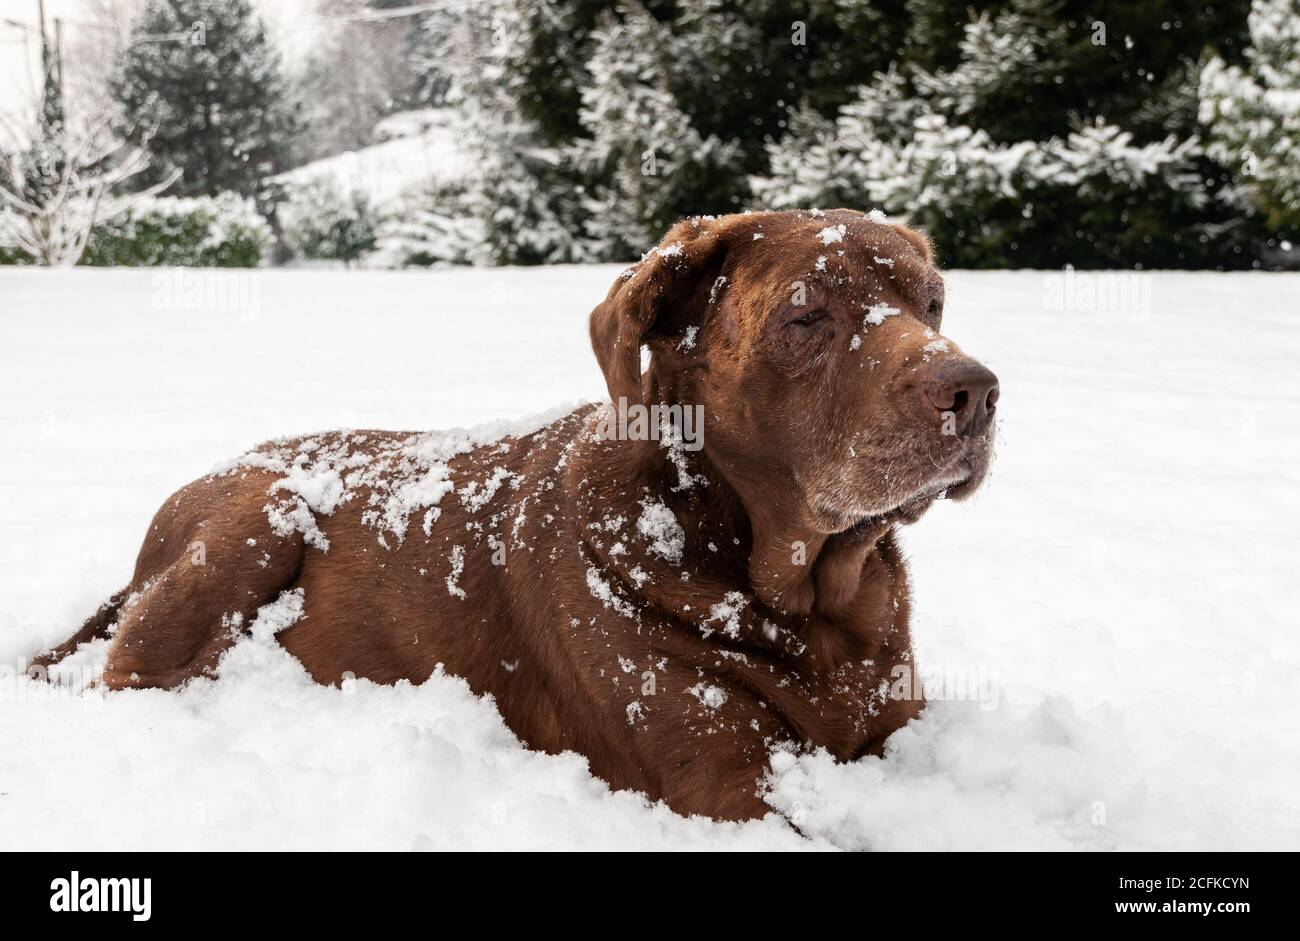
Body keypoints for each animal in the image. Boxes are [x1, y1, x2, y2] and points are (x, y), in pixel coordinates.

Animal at [35, 209, 998, 821]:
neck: (809, 603)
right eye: (806, 316)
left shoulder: (898, 724)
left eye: (933, 301)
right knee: (127, 674)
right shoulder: (722, 786)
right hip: (256, 515)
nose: (976, 390)